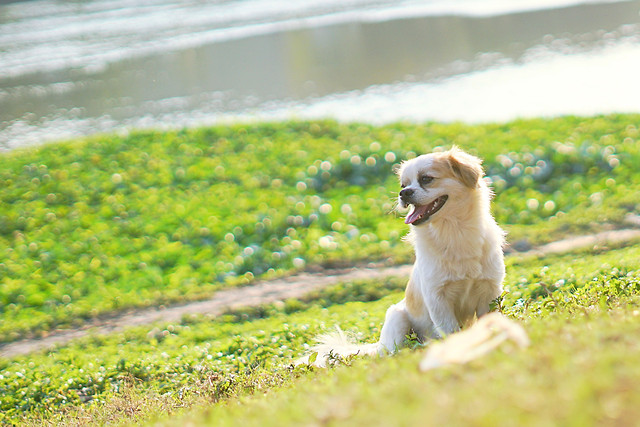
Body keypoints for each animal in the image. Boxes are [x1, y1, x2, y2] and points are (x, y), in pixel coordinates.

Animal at [304, 147, 504, 368]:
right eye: (403, 185)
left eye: (426, 179)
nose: (404, 193)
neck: (454, 232)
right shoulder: (438, 300)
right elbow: (450, 331)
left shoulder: (489, 291)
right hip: (397, 318)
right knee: (394, 352)